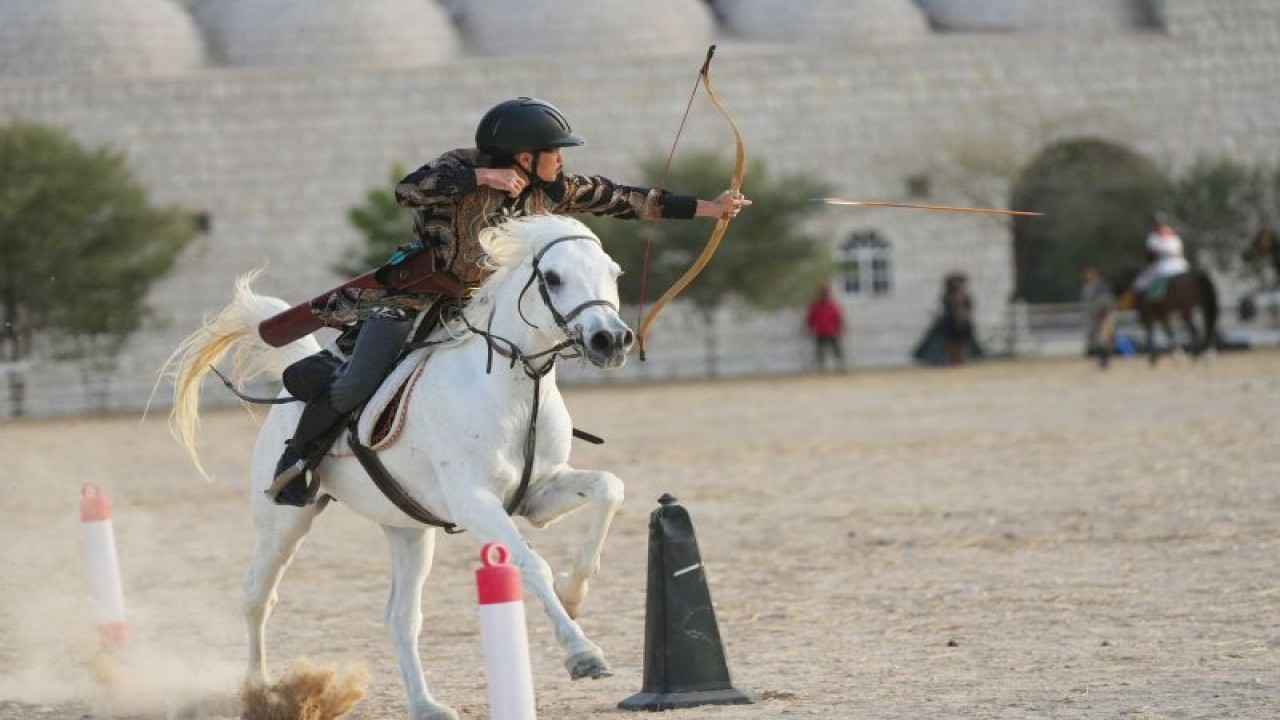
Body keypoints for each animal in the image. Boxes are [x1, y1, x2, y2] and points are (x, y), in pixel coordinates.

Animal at [165, 212, 634, 717]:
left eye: (614, 272)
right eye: (553, 277)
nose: (611, 340)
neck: (510, 389)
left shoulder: (538, 495)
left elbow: (609, 487)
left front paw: (574, 592)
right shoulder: (476, 505)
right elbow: (533, 564)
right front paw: (582, 653)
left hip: (408, 531)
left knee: (401, 617)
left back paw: (426, 704)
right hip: (282, 524)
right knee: (257, 597)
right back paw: (260, 693)